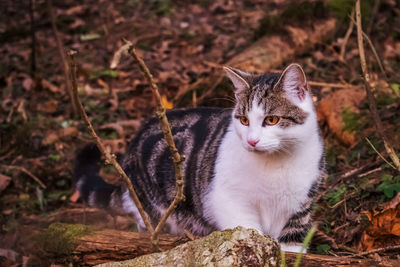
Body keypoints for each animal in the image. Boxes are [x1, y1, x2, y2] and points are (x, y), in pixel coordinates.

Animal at [75, 62, 324, 253]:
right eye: (244, 120)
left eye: (271, 120)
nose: (252, 141)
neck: (276, 164)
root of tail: (133, 142)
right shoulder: (226, 199)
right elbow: (247, 230)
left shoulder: (300, 205)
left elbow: (292, 244)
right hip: (153, 208)